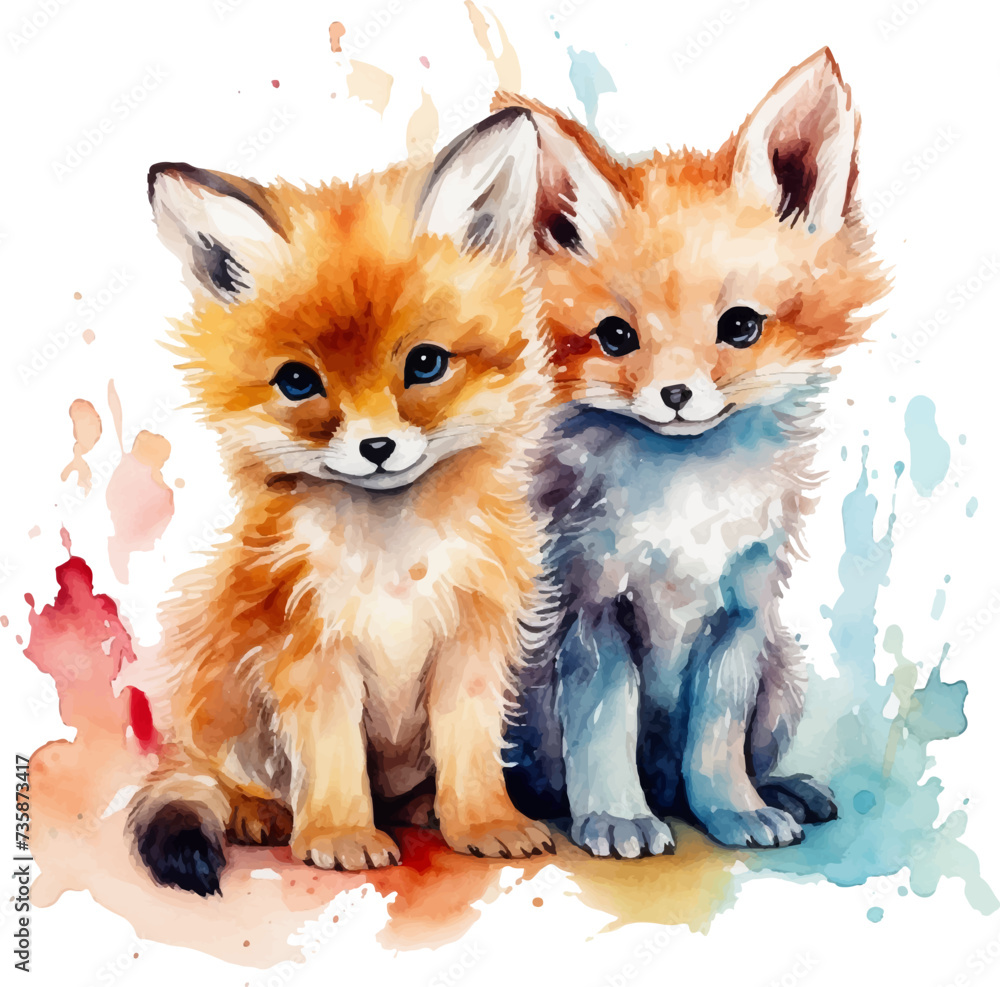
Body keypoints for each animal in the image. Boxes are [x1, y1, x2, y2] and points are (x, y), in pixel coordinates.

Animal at [126, 108, 558, 895]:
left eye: (425, 363)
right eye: (299, 381)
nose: (376, 446)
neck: (394, 562)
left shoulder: (468, 644)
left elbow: (471, 749)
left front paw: (483, 821)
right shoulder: (310, 654)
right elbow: (332, 761)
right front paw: (340, 835)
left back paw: (420, 808)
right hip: (221, 715)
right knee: (217, 781)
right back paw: (261, 814)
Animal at [497, 50, 890, 855]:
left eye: (740, 326)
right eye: (616, 337)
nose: (675, 393)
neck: (685, 503)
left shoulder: (740, 616)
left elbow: (714, 742)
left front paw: (734, 810)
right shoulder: (593, 614)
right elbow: (603, 730)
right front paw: (617, 816)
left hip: (783, 671)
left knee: (701, 769)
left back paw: (782, 788)